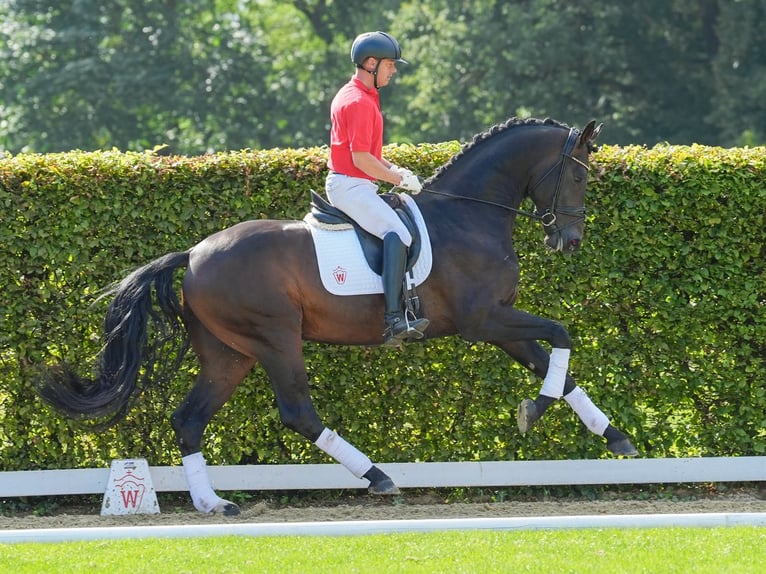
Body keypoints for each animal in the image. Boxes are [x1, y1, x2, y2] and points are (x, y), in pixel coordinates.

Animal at [37, 116, 636, 516]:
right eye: (579, 176)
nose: (569, 241)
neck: (468, 216)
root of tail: (194, 254)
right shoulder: (484, 320)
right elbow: (562, 334)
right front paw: (536, 410)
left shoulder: (500, 320)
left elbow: (558, 365)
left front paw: (615, 438)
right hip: (275, 339)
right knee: (298, 412)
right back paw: (377, 476)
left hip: (228, 353)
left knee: (189, 419)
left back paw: (215, 504)